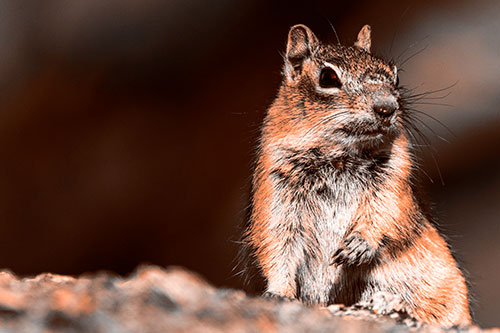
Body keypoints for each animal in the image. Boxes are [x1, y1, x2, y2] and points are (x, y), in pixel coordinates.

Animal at [242, 24, 472, 326]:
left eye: (395, 76)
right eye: (328, 77)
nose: (387, 108)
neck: (339, 156)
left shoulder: (394, 181)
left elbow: (388, 214)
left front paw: (358, 246)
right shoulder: (276, 189)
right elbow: (277, 244)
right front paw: (279, 293)